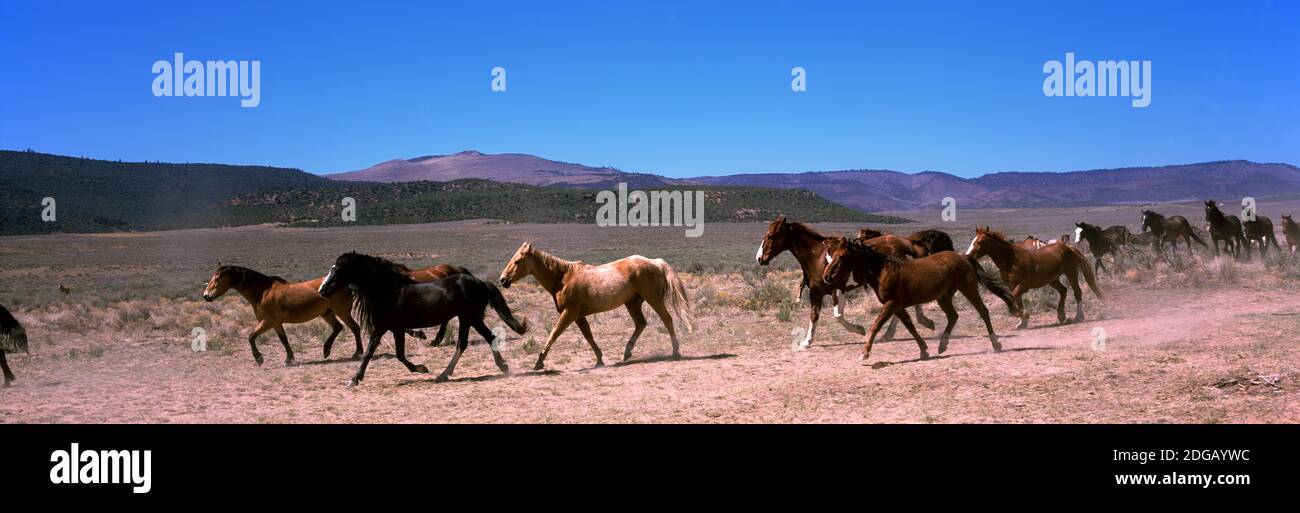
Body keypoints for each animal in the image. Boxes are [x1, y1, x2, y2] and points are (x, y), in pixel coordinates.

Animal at [202, 264, 366, 366]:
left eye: (217, 278)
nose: (206, 296)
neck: (262, 292)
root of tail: (347, 285)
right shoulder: (276, 323)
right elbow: (283, 339)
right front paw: (289, 359)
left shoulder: (268, 321)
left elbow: (251, 336)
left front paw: (259, 359)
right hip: (327, 313)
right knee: (338, 328)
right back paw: (326, 351)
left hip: (341, 312)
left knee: (355, 328)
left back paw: (357, 353)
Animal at [318, 250, 527, 387]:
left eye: (338, 269)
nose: (322, 290)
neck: (388, 291)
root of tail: (480, 283)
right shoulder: (384, 328)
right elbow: (376, 353)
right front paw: (355, 378)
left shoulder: (391, 328)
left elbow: (394, 354)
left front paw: (421, 368)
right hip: (467, 319)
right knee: (469, 342)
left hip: (471, 317)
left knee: (480, 340)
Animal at [496, 242, 696, 371]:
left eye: (517, 261)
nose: (503, 280)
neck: (562, 278)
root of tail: (655, 262)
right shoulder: (578, 316)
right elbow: (588, 336)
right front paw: (599, 359)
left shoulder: (569, 313)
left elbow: (554, 333)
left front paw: (539, 362)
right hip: (632, 303)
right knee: (641, 323)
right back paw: (627, 352)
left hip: (653, 299)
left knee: (667, 319)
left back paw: (675, 352)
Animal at [821, 238, 1024, 363]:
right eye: (832, 255)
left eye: (841, 256)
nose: (826, 277)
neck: (883, 271)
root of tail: (964, 257)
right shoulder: (897, 306)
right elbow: (910, 327)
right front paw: (924, 351)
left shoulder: (891, 304)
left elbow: (876, 325)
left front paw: (864, 353)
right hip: (944, 296)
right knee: (953, 316)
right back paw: (942, 345)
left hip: (968, 289)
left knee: (983, 311)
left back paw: (996, 344)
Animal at [961, 228, 1102, 329]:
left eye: (979, 242)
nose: (967, 255)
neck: (1011, 261)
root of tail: (1069, 248)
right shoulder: (1013, 285)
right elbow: (1017, 300)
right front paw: (1022, 323)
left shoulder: (1022, 286)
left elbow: (1013, 297)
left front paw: (1024, 315)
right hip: (1052, 279)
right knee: (1064, 291)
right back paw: (1061, 316)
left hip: (1071, 273)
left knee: (1077, 292)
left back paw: (1078, 317)